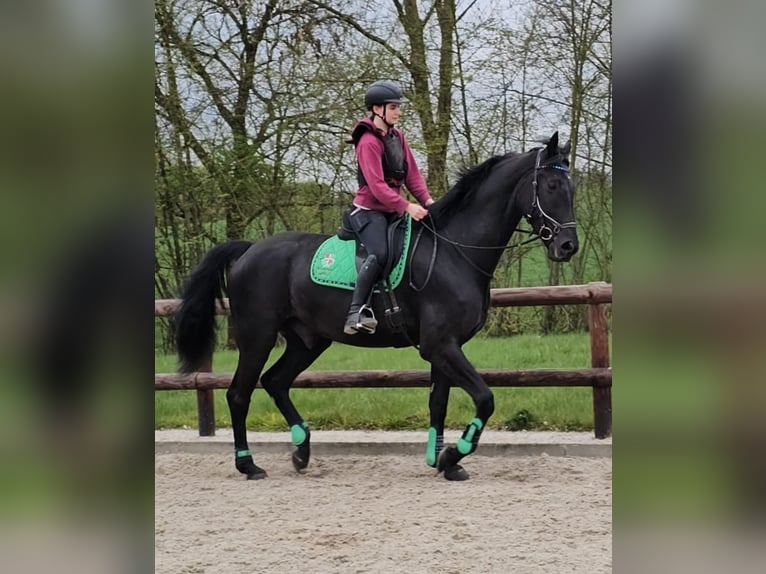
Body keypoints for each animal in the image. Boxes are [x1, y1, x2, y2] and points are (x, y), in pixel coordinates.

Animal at [175, 131, 578, 481]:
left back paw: (301, 450)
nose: (568, 247)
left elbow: (439, 403)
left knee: (275, 381)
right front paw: (453, 454)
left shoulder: (445, 347)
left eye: (572, 188)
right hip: (257, 336)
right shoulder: (440, 345)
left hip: (308, 341)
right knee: (239, 394)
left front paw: (442, 461)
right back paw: (248, 465)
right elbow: (484, 398)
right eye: (551, 186)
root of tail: (249, 250)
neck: (454, 251)